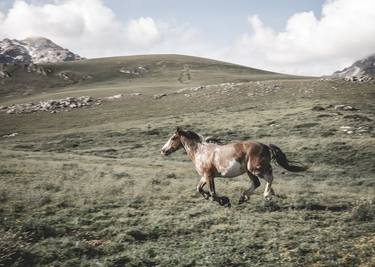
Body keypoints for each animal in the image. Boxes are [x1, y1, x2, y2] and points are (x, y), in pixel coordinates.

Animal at [161, 127, 308, 207]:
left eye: (173, 138)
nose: (163, 150)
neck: (201, 152)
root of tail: (265, 146)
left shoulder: (209, 176)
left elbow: (213, 193)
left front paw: (224, 201)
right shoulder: (205, 176)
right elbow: (199, 189)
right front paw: (211, 198)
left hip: (255, 168)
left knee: (269, 178)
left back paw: (267, 195)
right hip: (249, 171)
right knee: (257, 183)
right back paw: (243, 197)